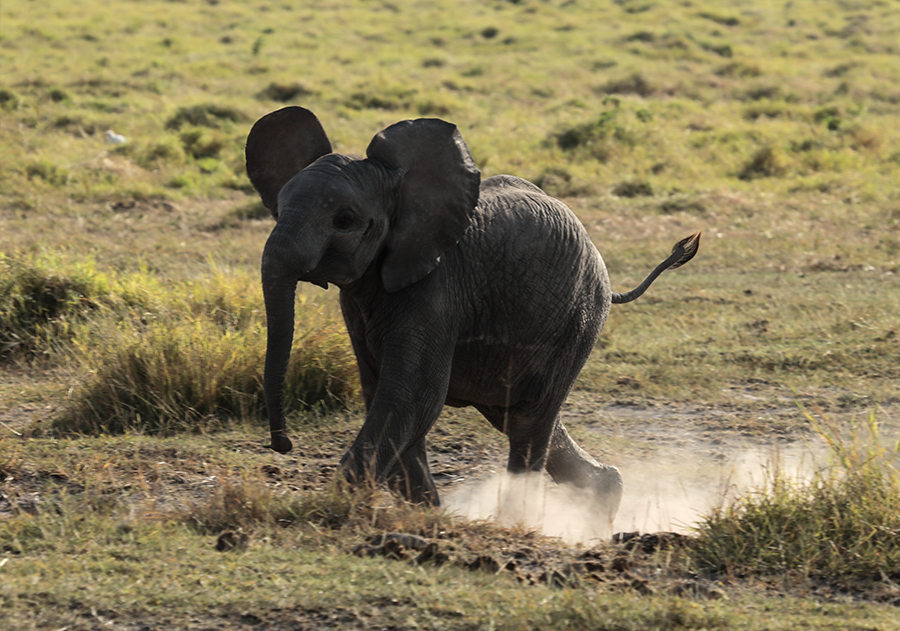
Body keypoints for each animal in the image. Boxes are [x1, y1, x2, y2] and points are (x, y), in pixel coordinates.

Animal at [248, 106, 704, 524]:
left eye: (344, 220)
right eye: (280, 208)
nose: (283, 445)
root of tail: (604, 273)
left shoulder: (437, 289)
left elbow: (413, 394)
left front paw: (333, 510)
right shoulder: (360, 300)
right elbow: (384, 392)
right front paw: (428, 513)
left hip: (579, 318)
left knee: (529, 421)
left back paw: (516, 522)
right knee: (518, 416)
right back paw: (600, 504)